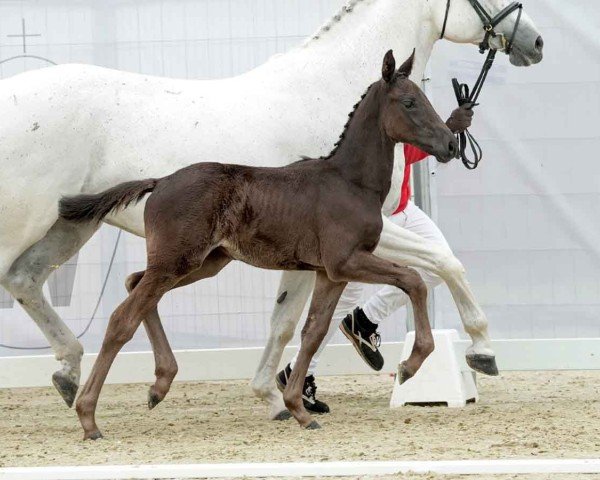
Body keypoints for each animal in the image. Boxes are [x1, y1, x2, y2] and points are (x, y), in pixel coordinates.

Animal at [61, 49, 454, 438]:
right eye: (409, 102)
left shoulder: (330, 273)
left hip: (202, 262)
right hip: (178, 262)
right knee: (121, 319)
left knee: (134, 285)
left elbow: (313, 331)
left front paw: (299, 409)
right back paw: (89, 417)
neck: (350, 183)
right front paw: (411, 364)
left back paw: (159, 384)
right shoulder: (347, 261)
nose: (450, 143)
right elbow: (413, 281)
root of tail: (160, 181)